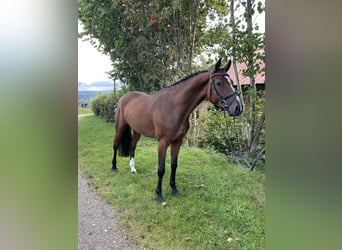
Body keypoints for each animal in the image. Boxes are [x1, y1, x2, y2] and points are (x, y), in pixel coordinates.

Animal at [111, 57, 242, 202]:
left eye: (232, 82)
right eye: (219, 83)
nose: (238, 108)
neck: (174, 107)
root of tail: (123, 98)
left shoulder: (177, 141)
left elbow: (174, 165)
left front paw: (174, 189)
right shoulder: (162, 142)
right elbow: (161, 169)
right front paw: (159, 194)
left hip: (137, 131)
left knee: (132, 146)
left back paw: (133, 169)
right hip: (120, 127)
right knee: (115, 145)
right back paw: (114, 167)